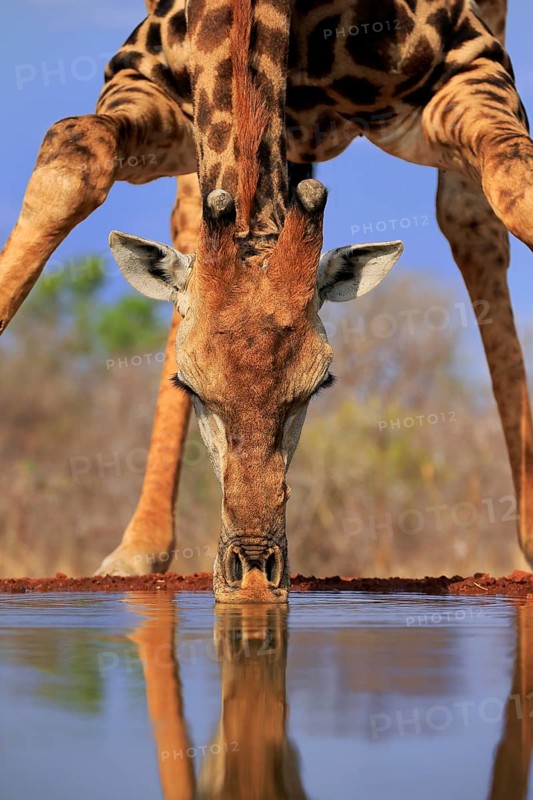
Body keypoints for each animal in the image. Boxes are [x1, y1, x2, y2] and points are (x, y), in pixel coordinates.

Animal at [1, 0, 532, 599]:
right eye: (187, 383)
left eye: (319, 384)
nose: (253, 572)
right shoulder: (141, 77)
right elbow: (73, 152)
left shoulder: (469, 66)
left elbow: (512, 183)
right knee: (188, 217)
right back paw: (136, 550)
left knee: (471, 220)